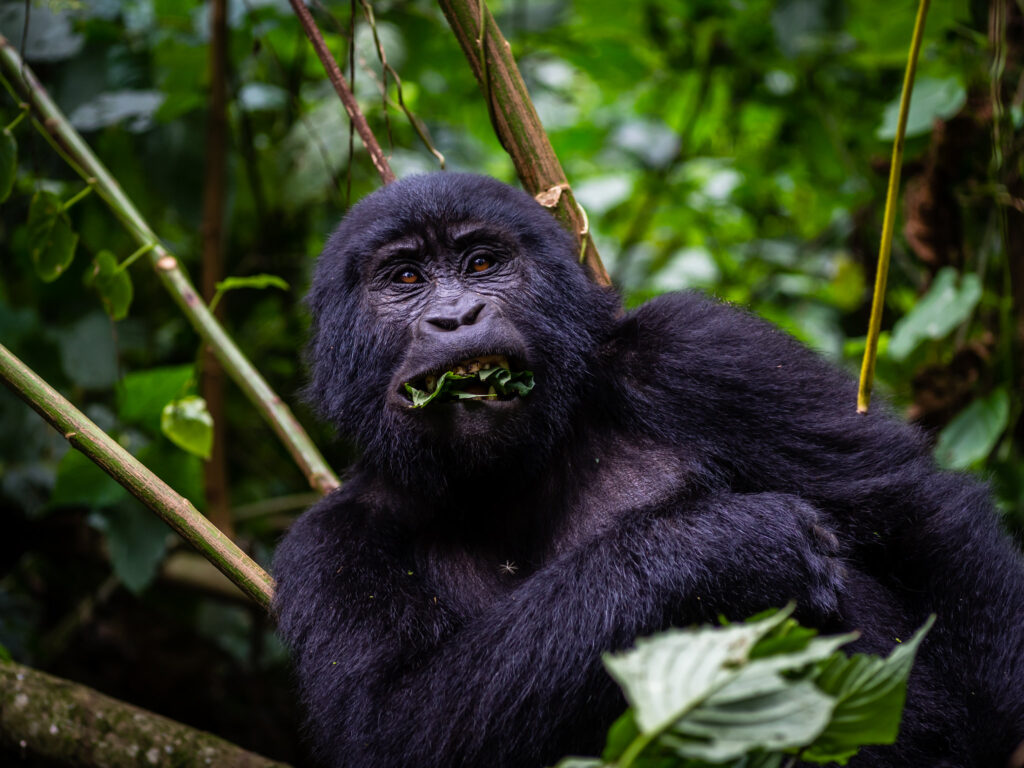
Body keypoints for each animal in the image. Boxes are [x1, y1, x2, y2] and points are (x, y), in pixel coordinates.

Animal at [272, 174, 1024, 768]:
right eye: (406, 278)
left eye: (482, 262)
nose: (457, 316)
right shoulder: (329, 545)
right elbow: (396, 724)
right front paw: (731, 549)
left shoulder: (694, 348)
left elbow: (916, 513)